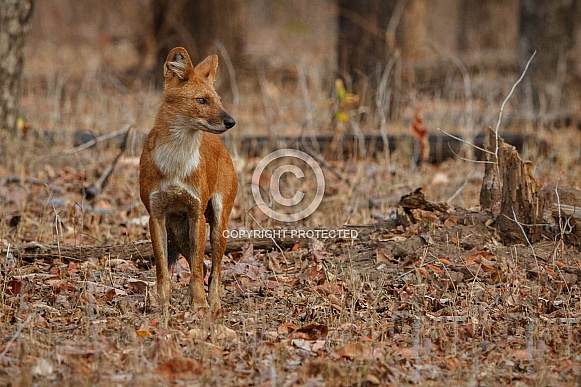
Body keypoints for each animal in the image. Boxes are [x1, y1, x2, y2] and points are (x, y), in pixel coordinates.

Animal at [139, 47, 237, 316]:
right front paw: (163, 307)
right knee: (201, 263)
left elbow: (197, 270)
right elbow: (163, 271)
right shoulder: (156, 216)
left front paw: (200, 305)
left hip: (217, 224)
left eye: (219, 100)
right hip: (178, 229)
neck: (175, 161)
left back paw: (213, 304)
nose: (230, 121)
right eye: (201, 100)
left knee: (214, 268)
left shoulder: (197, 213)